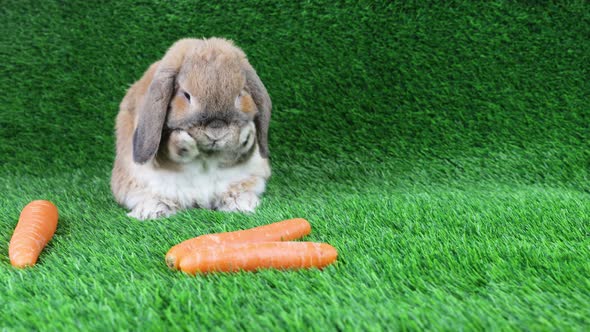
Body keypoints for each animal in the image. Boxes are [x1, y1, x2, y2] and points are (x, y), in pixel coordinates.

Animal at [111, 38, 272, 220]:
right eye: (186, 95)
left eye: (240, 94)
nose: (216, 131)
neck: (207, 154)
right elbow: (169, 148)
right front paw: (183, 143)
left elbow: (239, 152)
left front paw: (246, 136)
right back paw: (153, 211)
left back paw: (241, 204)